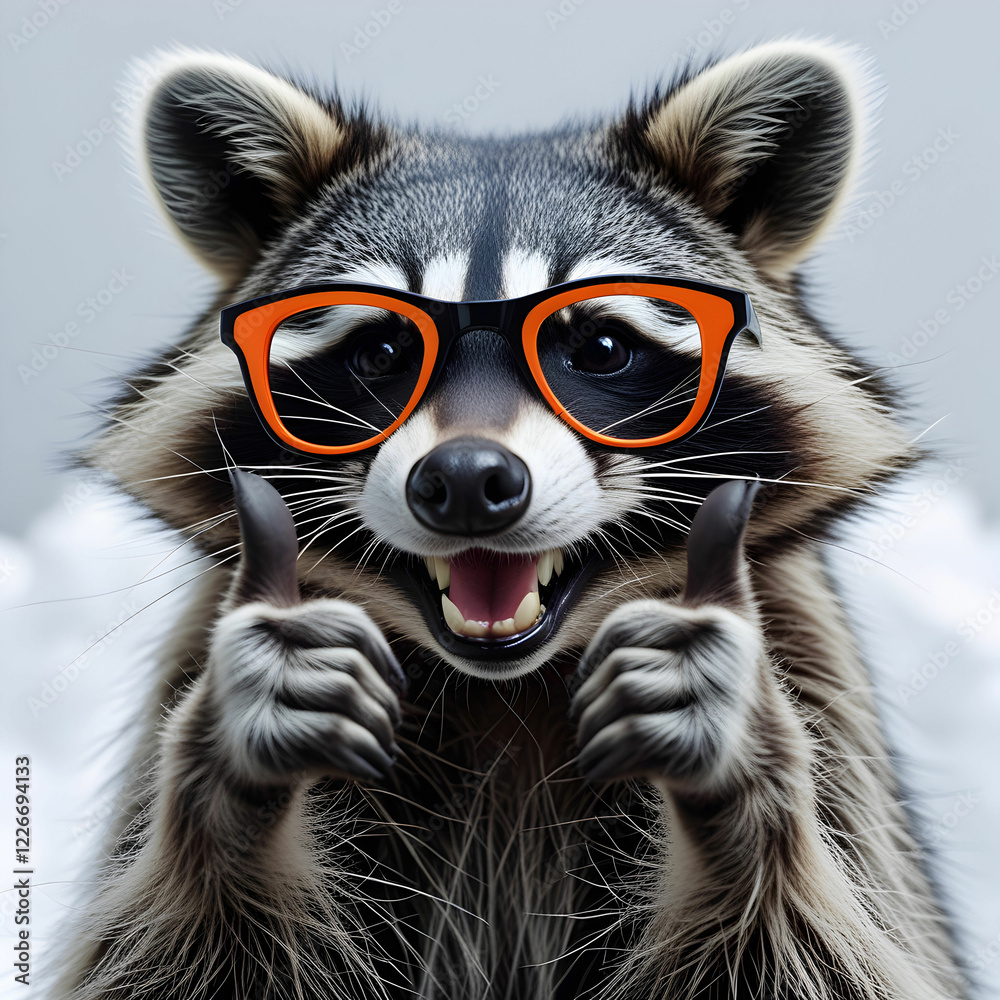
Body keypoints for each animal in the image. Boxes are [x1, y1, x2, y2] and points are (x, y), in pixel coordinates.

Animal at [56, 40, 965, 1000]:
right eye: (384, 350)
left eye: (599, 348)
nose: (464, 480)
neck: (508, 693)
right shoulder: (198, 648)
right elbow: (172, 957)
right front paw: (236, 756)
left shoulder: (815, 674)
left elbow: (829, 948)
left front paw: (738, 771)